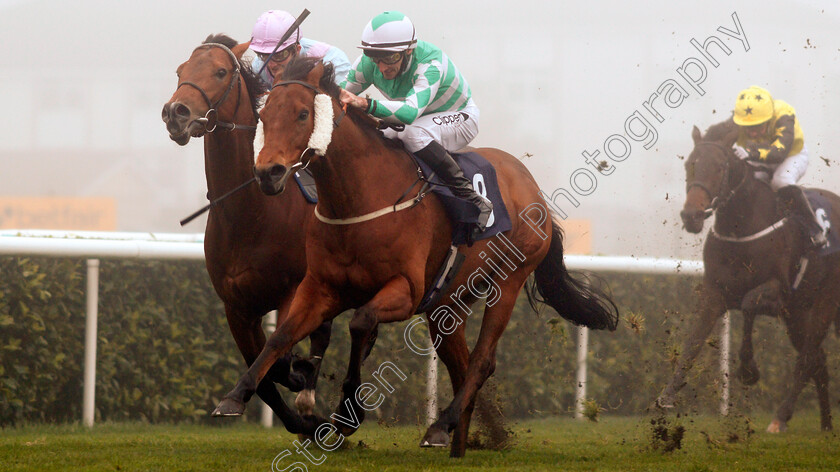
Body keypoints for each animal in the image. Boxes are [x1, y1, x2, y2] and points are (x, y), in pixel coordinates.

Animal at [162, 35, 334, 430]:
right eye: (180, 71)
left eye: (220, 72)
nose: (175, 112)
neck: (249, 215)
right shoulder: (236, 308)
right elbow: (266, 378)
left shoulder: (293, 291)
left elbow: (279, 354)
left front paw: (300, 375)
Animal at [210, 56, 616, 458]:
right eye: (263, 115)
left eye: (302, 113)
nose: (268, 173)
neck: (358, 198)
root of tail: (531, 186)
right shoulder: (321, 287)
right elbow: (280, 337)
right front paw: (235, 396)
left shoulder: (406, 290)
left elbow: (360, 322)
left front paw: (349, 412)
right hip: (448, 304)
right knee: (462, 365)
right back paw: (455, 443)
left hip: (509, 280)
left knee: (482, 361)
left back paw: (438, 426)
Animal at [656, 118, 840, 432]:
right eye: (690, 164)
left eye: (720, 167)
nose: (691, 216)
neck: (741, 227)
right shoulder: (714, 292)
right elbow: (693, 341)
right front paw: (667, 397)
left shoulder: (779, 291)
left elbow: (749, 303)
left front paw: (748, 370)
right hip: (798, 311)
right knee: (818, 359)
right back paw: (826, 425)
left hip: (825, 302)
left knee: (807, 358)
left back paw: (781, 417)